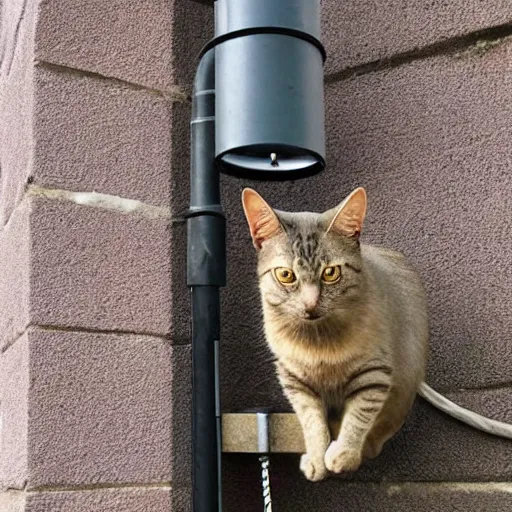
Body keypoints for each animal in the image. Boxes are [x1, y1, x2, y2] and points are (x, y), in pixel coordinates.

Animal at [242, 186, 512, 482]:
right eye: (286, 275)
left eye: (330, 273)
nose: (310, 305)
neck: (318, 339)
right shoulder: (293, 378)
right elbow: (311, 421)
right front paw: (316, 458)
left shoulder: (374, 374)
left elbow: (360, 417)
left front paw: (344, 454)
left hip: (404, 378)